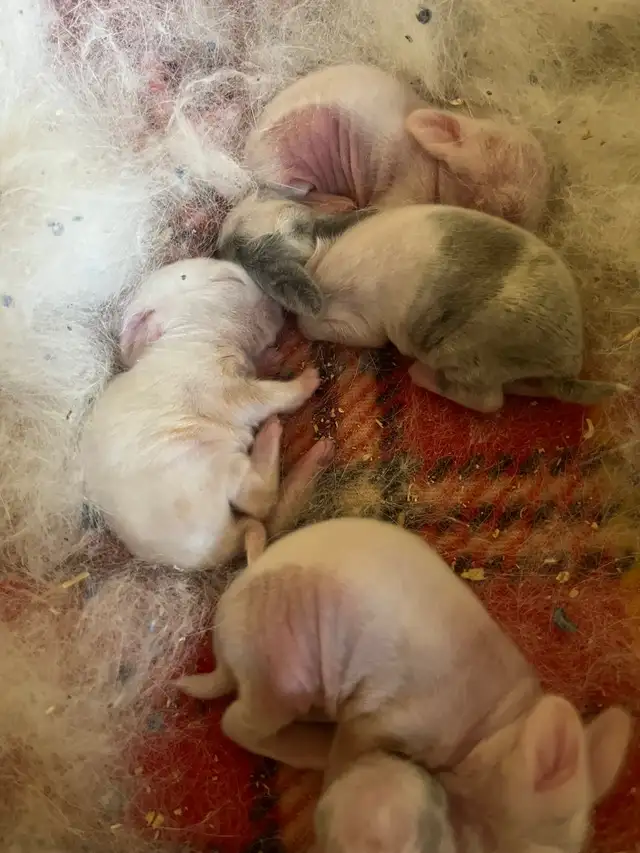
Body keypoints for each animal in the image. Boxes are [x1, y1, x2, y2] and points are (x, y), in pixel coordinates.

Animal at [80, 257, 326, 571]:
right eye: (228, 281)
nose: (278, 306)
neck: (188, 336)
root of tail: (220, 547)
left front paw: (272, 359)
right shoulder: (226, 390)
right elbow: (271, 396)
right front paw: (309, 379)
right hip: (217, 468)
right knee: (260, 502)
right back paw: (282, 436)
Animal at [175, 516, 632, 853]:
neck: (495, 727)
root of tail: (223, 647)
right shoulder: (380, 719)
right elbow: (344, 760)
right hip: (284, 674)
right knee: (238, 723)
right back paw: (310, 747)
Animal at [243, 63, 550, 229]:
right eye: (492, 144)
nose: (519, 209)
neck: (435, 167)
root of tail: (249, 160)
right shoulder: (406, 183)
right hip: (284, 166)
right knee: (291, 193)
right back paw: (340, 203)